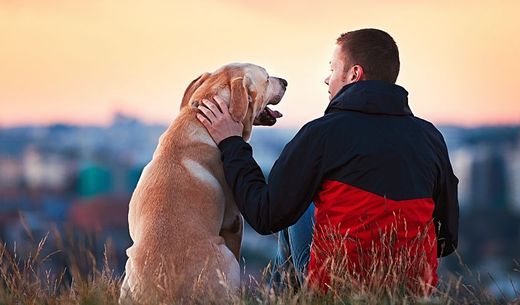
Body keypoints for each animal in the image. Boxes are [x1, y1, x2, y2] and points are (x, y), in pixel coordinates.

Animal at [119, 63, 286, 302]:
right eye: (266, 77)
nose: (285, 82)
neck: (197, 119)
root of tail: (165, 294)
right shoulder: (234, 220)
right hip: (226, 257)